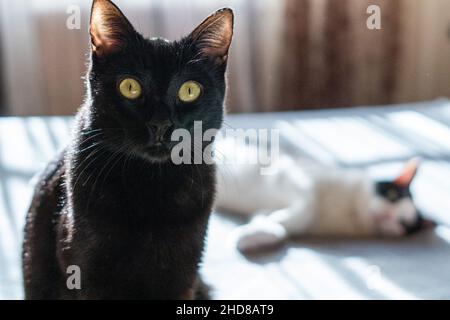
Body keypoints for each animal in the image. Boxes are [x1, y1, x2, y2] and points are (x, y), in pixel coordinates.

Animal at [22, 0, 234, 300]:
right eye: (130, 87)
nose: (160, 124)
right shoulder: (86, 273)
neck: (150, 183)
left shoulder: (183, 275)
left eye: (189, 90)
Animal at [214, 141, 432, 254]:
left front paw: (259, 230)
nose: (388, 216)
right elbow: (310, 206)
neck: (349, 212)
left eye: (405, 224)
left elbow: (276, 224)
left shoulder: (271, 208)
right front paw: (273, 222)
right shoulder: (298, 176)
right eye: (392, 196)